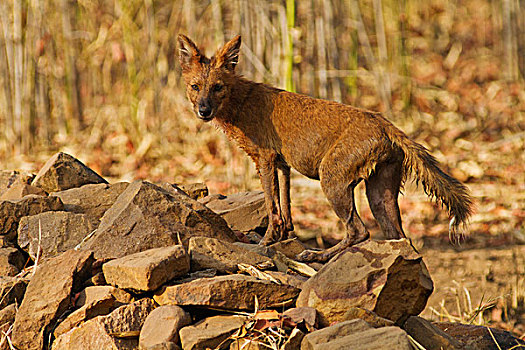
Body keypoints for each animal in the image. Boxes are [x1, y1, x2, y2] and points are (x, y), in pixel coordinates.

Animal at [178, 34, 472, 262]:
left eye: (218, 87)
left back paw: (318, 255)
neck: (239, 102)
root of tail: (385, 123)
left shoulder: (265, 158)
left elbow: (272, 207)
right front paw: (284, 237)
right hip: (380, 195)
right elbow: (286, 207)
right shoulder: (283, 164)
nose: (203, 110)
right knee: (399, 238)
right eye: (195, 87)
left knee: (359, 231)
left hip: (331, 178)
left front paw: (265, 243)